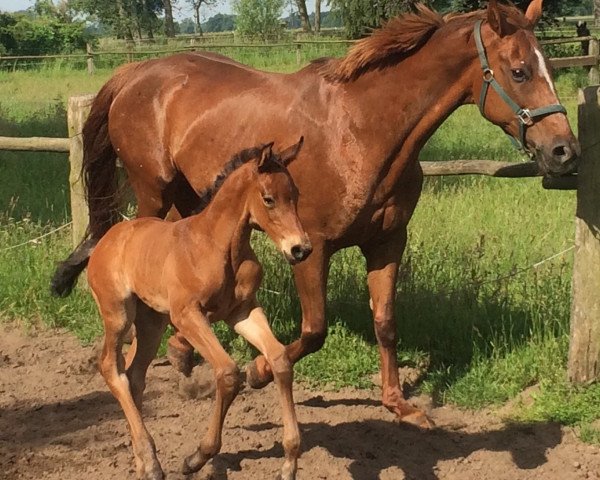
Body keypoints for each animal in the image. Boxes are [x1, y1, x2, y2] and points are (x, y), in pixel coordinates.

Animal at [89, 140, 314, 480]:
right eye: (269, 199)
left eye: (297, 195)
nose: (300, 249)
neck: (218, 247)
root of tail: (105, 241)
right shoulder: (187, 315)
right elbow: (228, 373)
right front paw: (197, 457)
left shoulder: (242, 311)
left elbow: (279, 360)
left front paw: (289, 462)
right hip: (118, 314)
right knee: (111, 367)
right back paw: (151, 462)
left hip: (151, 322)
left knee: (134, 374)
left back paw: (142, 462)